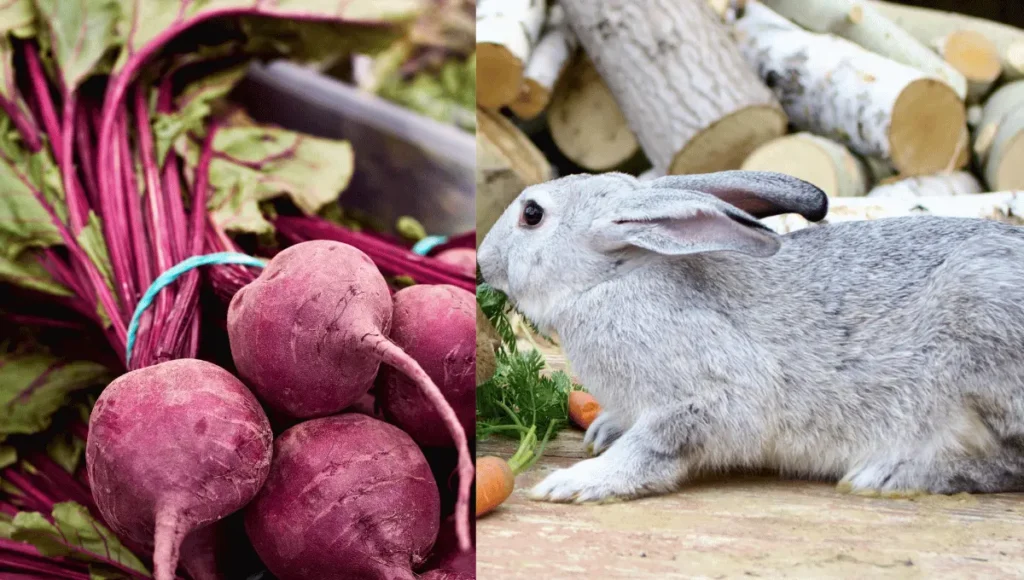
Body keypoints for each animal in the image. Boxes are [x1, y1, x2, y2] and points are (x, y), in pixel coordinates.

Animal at [475, 169, 1024, 504]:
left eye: (531, 214)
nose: (483, 261)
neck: (612, 280)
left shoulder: (711, 397)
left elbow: (654, 448)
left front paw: (573, 483)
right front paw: (602, 430)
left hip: (982, 331)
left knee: (1008, 464)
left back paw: (890, 475)